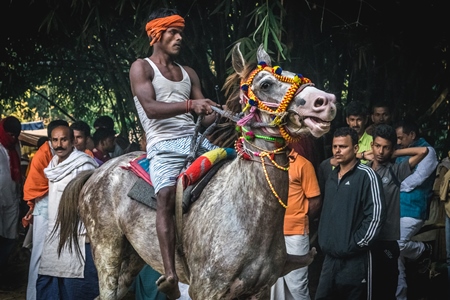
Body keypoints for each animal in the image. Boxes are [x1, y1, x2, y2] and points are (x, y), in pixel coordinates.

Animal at [55, 43, 334, 298]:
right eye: (265, 84)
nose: (325, 101)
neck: (247, 212)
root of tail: (97, 173)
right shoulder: (205, 289)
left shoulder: (260, 290)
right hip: (106, 248)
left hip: (134, 256)